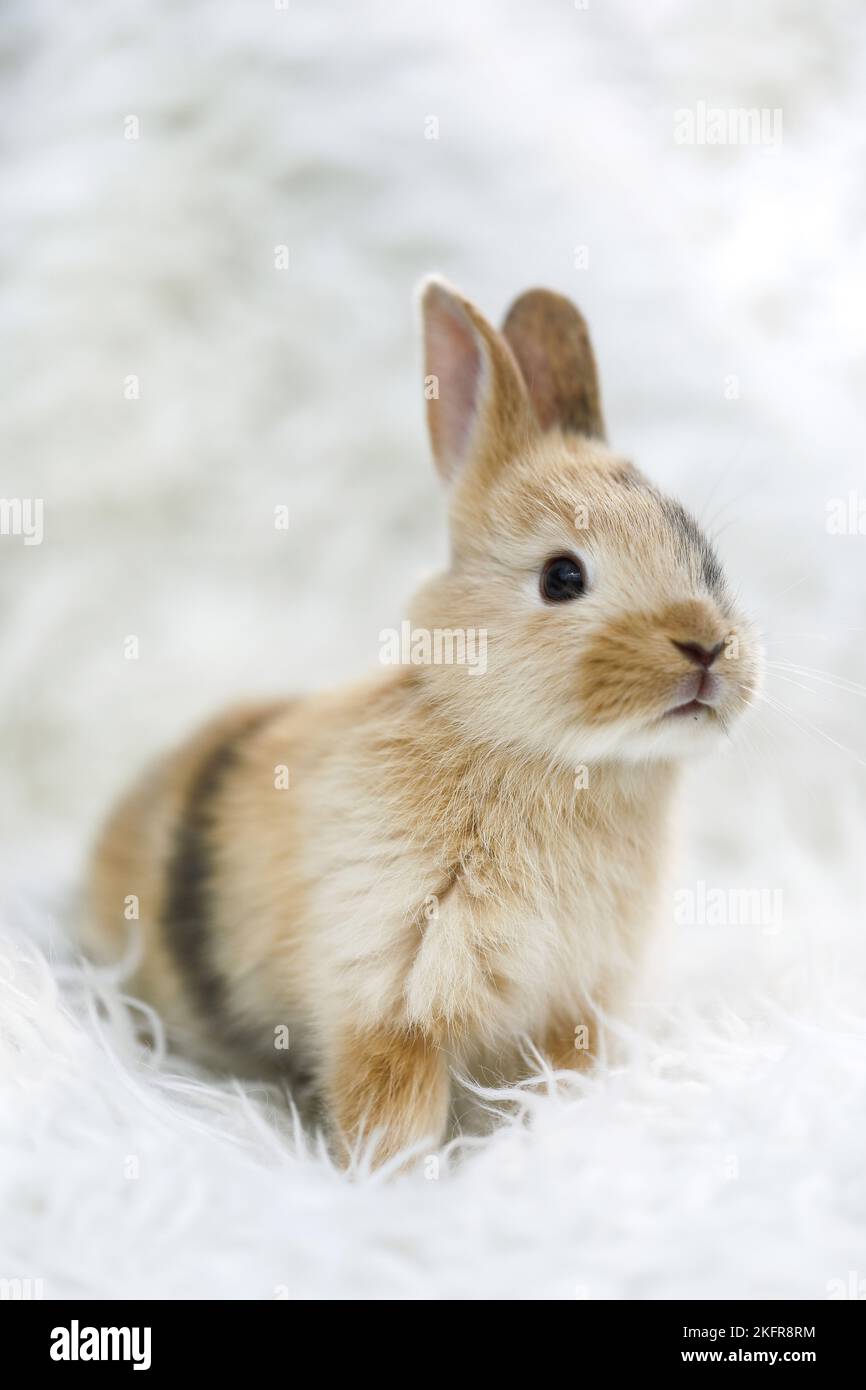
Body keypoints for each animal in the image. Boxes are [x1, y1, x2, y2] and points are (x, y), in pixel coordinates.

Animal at [86, 279, 760, 1167]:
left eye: (706, 559)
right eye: (562, 576)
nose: (708, 647)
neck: (534, 753)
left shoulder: (568, 1009)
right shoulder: (391, 1005)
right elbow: (394, 1114)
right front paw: (396, 1184)